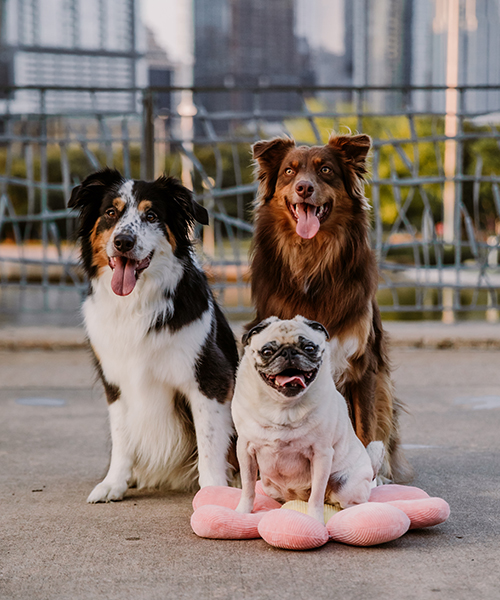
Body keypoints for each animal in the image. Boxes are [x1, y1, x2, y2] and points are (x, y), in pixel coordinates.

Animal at [69, 168, 239, 502]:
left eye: (151, 215)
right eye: (111, 213)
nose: (123, 241)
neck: (136, 303)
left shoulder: (209, 377)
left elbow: (210, 443)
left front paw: (213, 491)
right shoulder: (115, 382)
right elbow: (122, 436)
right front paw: (114, 482)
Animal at [248, 131, 412, 482]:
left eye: (325, 170)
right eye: (289, 171)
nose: (303, 188)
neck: (313, 258)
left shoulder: (363, 364)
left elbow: (365, 429)